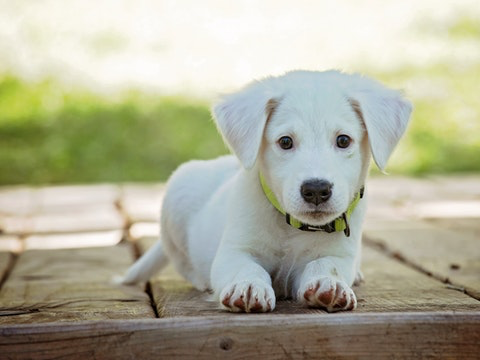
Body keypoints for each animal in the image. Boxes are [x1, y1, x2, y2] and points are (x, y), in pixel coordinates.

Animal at [122, 69, 410, 312]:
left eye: (343, 140)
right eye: (285, 142)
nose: (316, 190)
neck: (291, 227)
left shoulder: (339, 254)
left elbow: (325, 264)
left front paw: (329, 284)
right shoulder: (234, 251)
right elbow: (247, 267)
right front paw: (248, 286)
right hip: (177, 195)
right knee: (183, 263)